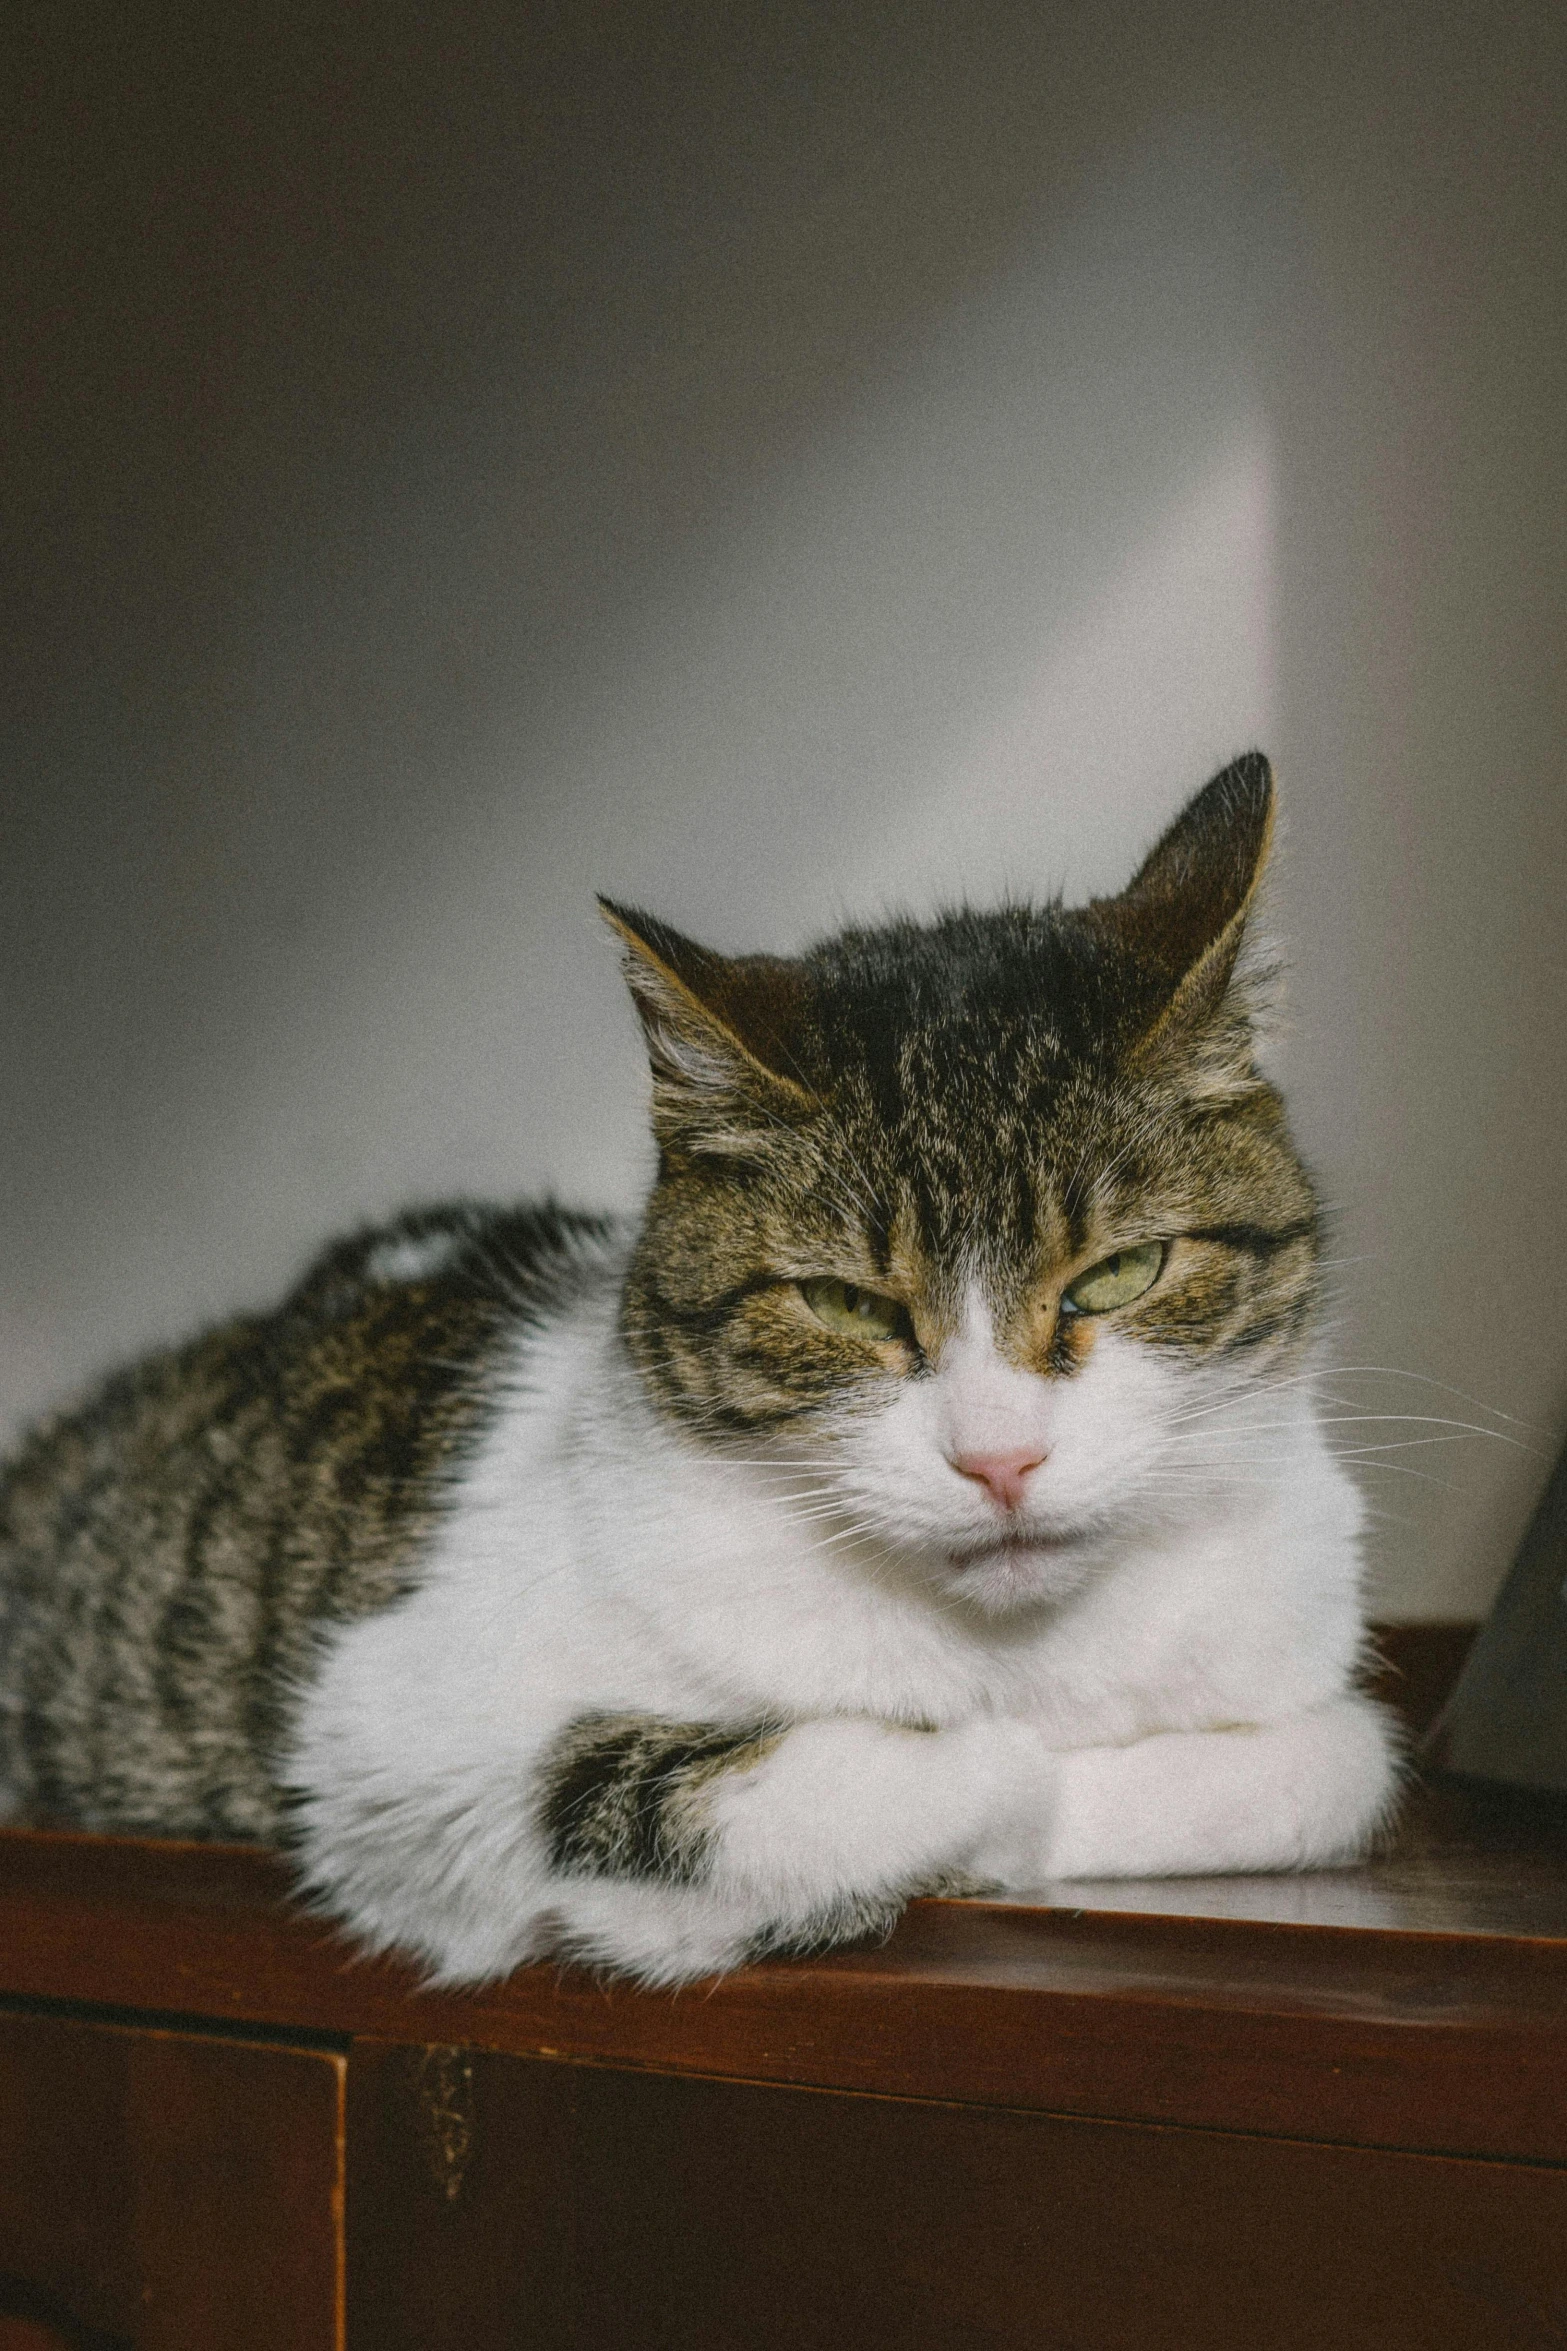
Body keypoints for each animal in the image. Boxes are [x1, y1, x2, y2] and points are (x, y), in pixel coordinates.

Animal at [0, 757, 1400, 1984]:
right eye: (844, 1303)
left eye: (1120, 1273)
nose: (1000, 1458)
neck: (1015, 1651)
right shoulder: (388, 1735)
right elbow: (876, 1774)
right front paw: (982, 1808)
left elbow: (1336, 1758)